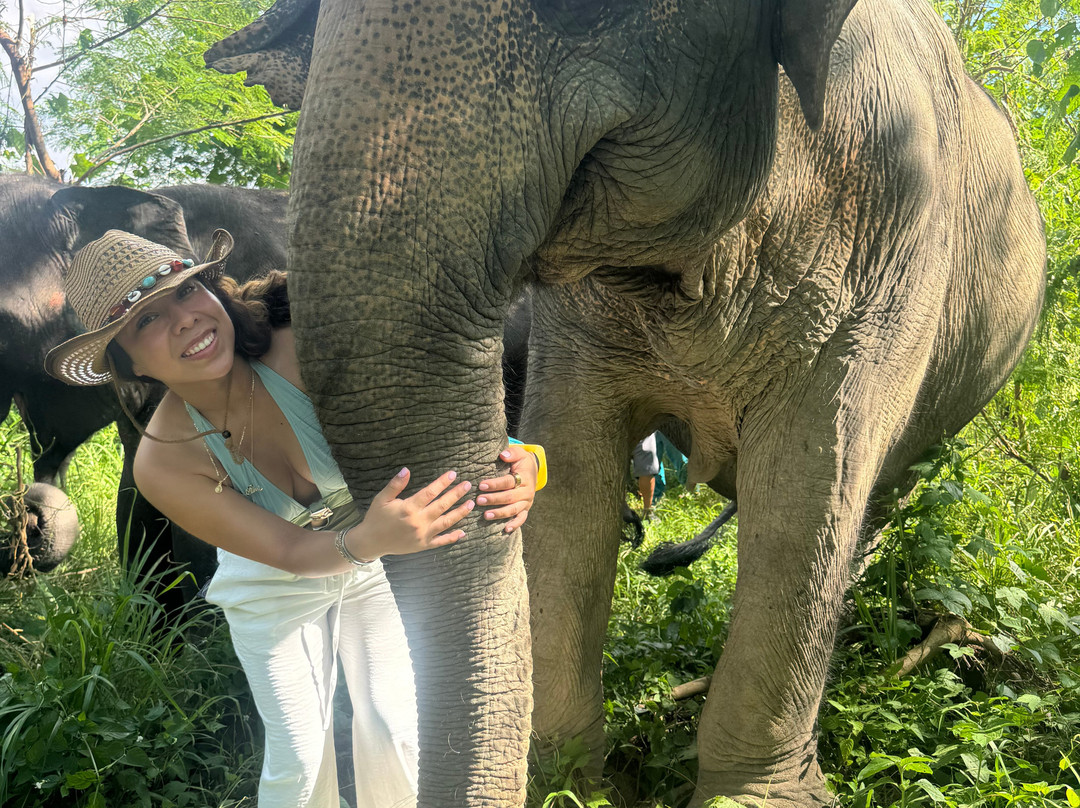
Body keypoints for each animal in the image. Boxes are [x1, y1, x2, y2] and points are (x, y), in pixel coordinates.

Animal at [207, 0, 1046, 805]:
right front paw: (563, 783)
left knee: (872, 502)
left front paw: (749, 801)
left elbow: (809, 492)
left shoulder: (890, 248)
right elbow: (573, 479)